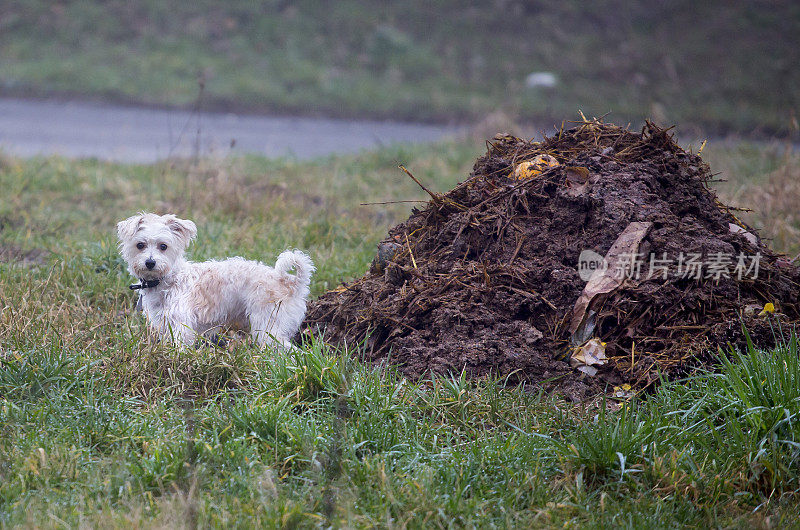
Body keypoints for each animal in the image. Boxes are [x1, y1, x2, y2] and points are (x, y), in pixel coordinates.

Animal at [116, 210, 316, 346]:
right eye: (140, 245)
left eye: (163, 246)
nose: (150, 262)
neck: (168, 279)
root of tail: (292, 283)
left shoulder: (181, 326)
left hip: (268, 328)